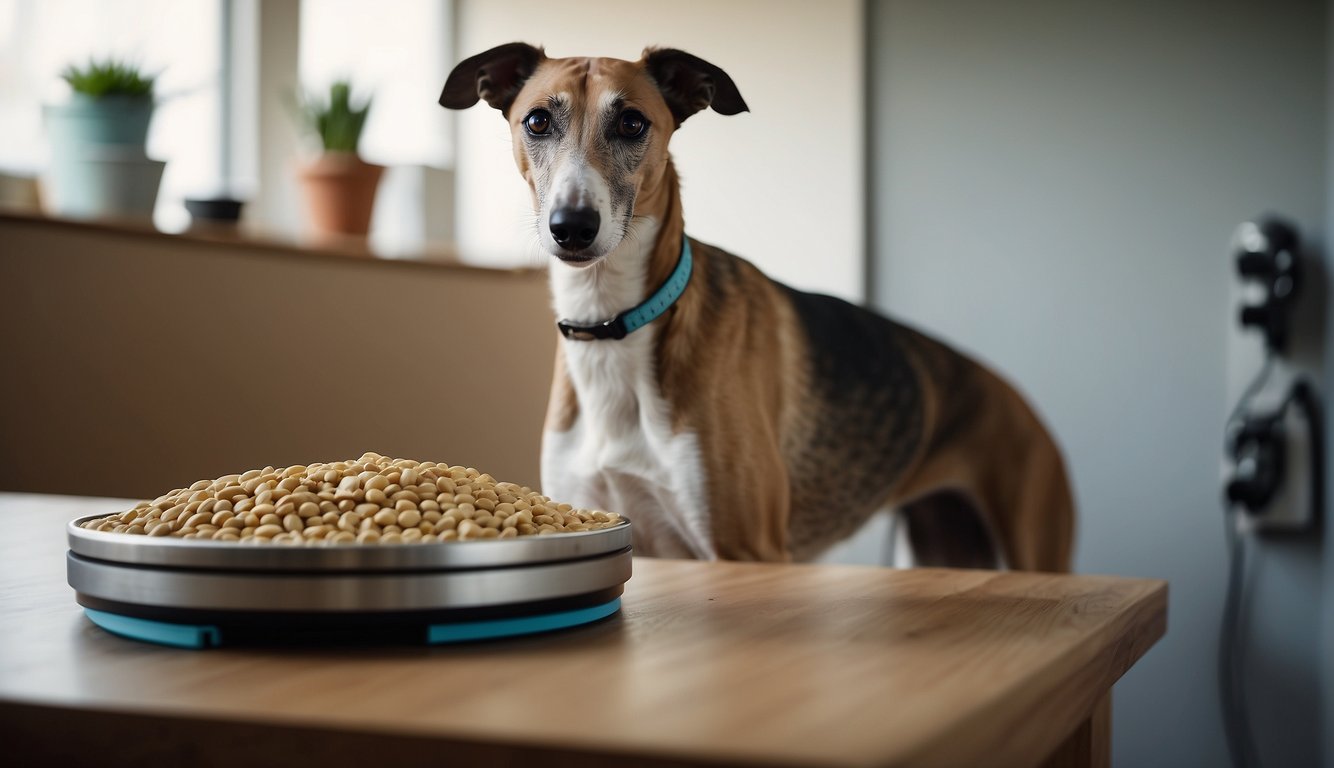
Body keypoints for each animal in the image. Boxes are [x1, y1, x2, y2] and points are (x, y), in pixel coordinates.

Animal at [440, 43, 1072, 570]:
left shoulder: (748, 548)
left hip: (1032, 538)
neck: (614, 325)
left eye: (632, 122)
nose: (572, 226)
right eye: (537, 121)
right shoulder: (601, 512)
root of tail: (1016, 399)